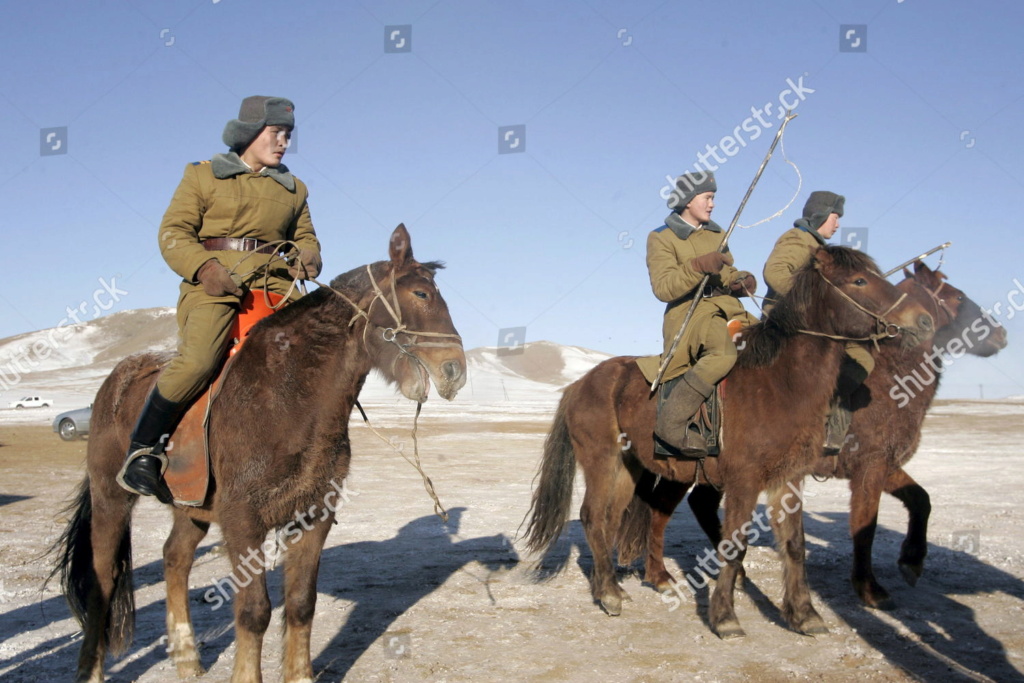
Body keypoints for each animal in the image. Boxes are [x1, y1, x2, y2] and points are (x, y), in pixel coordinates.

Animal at [48, 225, 464, 683]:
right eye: (421, 294)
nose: (455, 371)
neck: (289, 397)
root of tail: (112, 383)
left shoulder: (313, 517)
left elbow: (301, 605)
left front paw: (300, 675)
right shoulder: (243, 520)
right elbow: (254, 611)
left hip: (192, 507)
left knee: (175, 559)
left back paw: (187, 657)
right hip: (112, 497)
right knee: (103, 578)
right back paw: (91, 670)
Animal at [524, 246, 933, 643]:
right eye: (859, 280)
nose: (923, 320)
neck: (780, 383)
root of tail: (580, 384)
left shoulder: (789, 480)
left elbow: (795, 545)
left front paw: (804, 614)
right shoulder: (745, 481)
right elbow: (733, 544)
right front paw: (725, 618)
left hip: (630, 466)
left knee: (611, 519)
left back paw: (614, 586)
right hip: (602, 460)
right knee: (592, 516)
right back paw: (608, 595)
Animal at [638, 262, 1007, 614]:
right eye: (958, 296)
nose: (1001, 334)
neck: (891, 378)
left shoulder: (882, 465)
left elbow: (921, 499)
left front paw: (911, 562)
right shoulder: (870, 467)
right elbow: (865, 527)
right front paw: (870, 588)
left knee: (681, 507)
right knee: (669, 510)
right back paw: (669, 575)